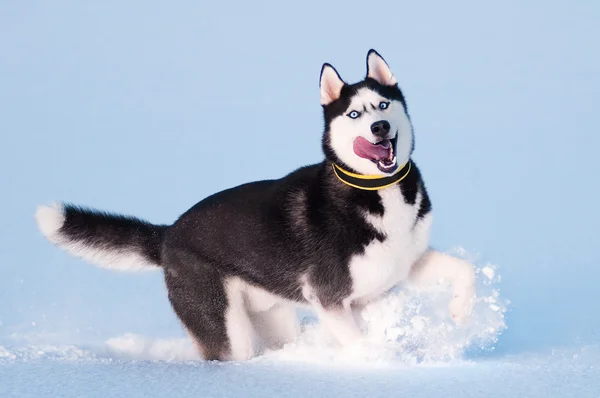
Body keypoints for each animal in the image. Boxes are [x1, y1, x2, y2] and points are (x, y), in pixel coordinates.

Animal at [36, 49, 478, 360]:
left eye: (384, 105)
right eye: (354, 113)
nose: (380, 127)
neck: (376, 192)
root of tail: (169, 234)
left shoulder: (404, 265)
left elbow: (465, 270)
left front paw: (460, 312)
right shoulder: (330, 298)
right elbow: (357, 341)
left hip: (273, 317)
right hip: (227, 330)